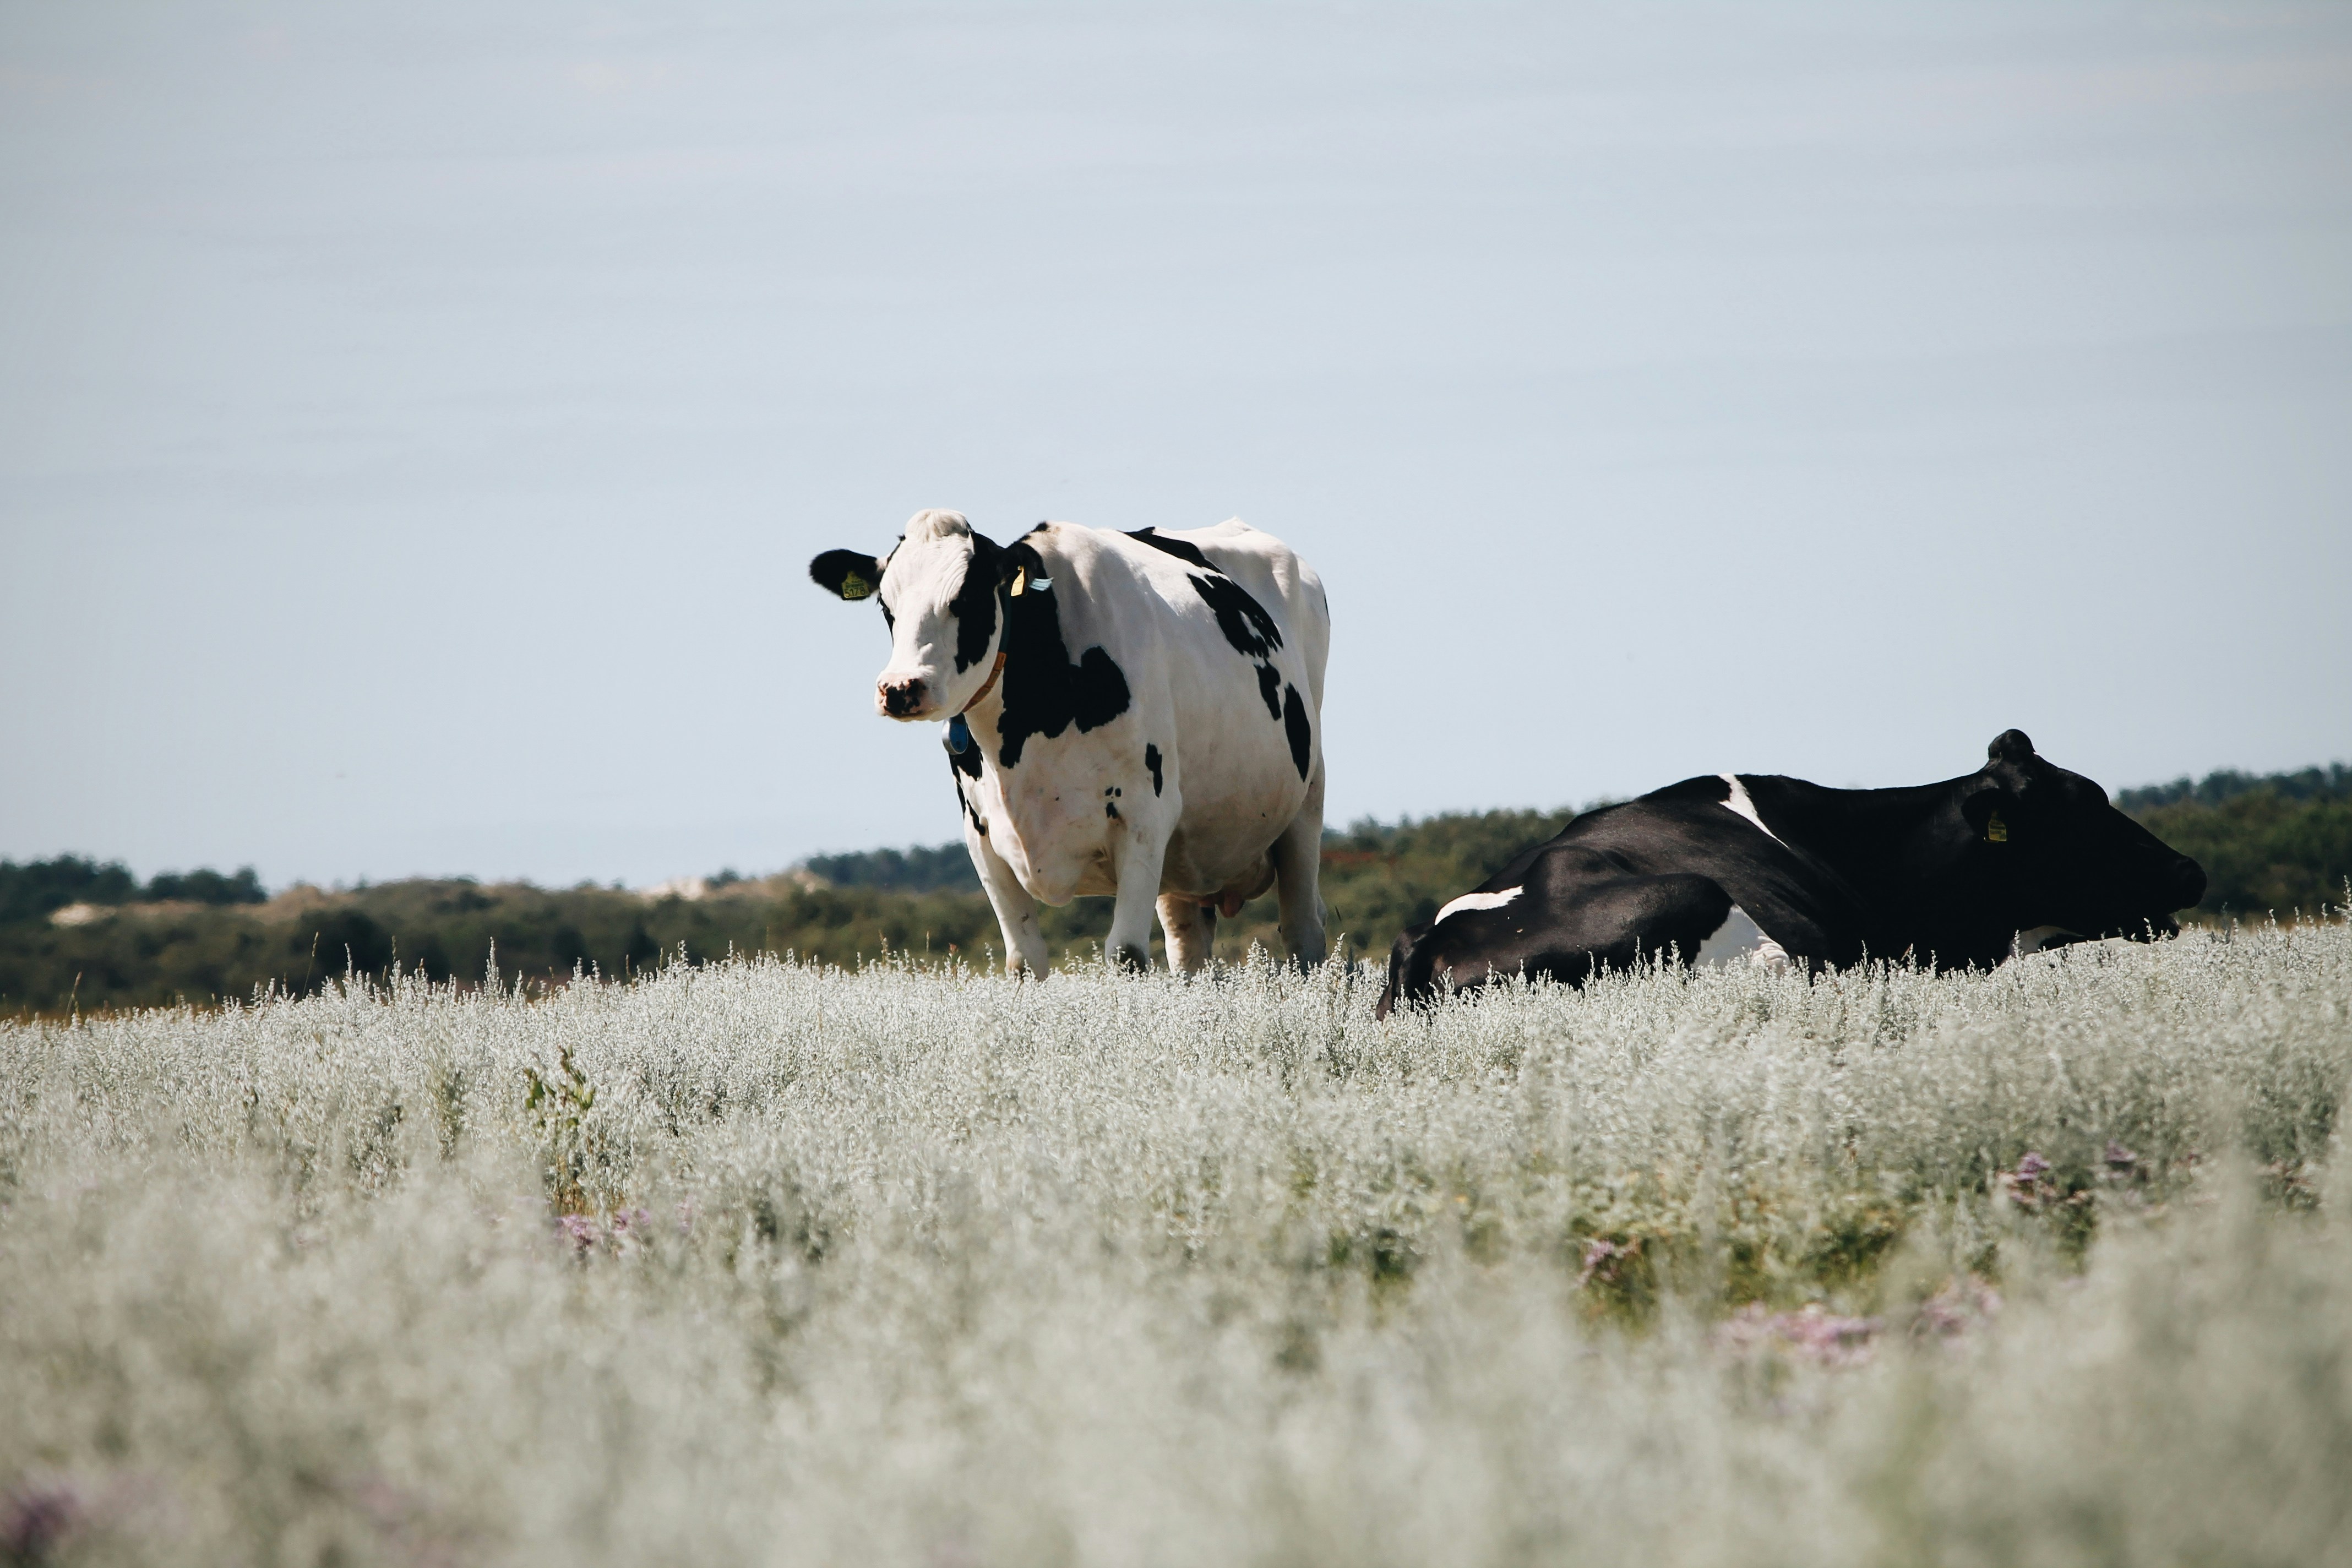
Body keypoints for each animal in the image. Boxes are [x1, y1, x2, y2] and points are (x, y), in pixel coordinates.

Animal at [810, 509, 1329, 975]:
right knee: (1189, 948)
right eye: (887, 607)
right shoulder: (981, 836)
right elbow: (1024, 961)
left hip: (1305, 803)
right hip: (1187, 862)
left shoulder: (1144, 818)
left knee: (1304, 934)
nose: (900, 688)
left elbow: (1127, 955)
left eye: (968, 599)